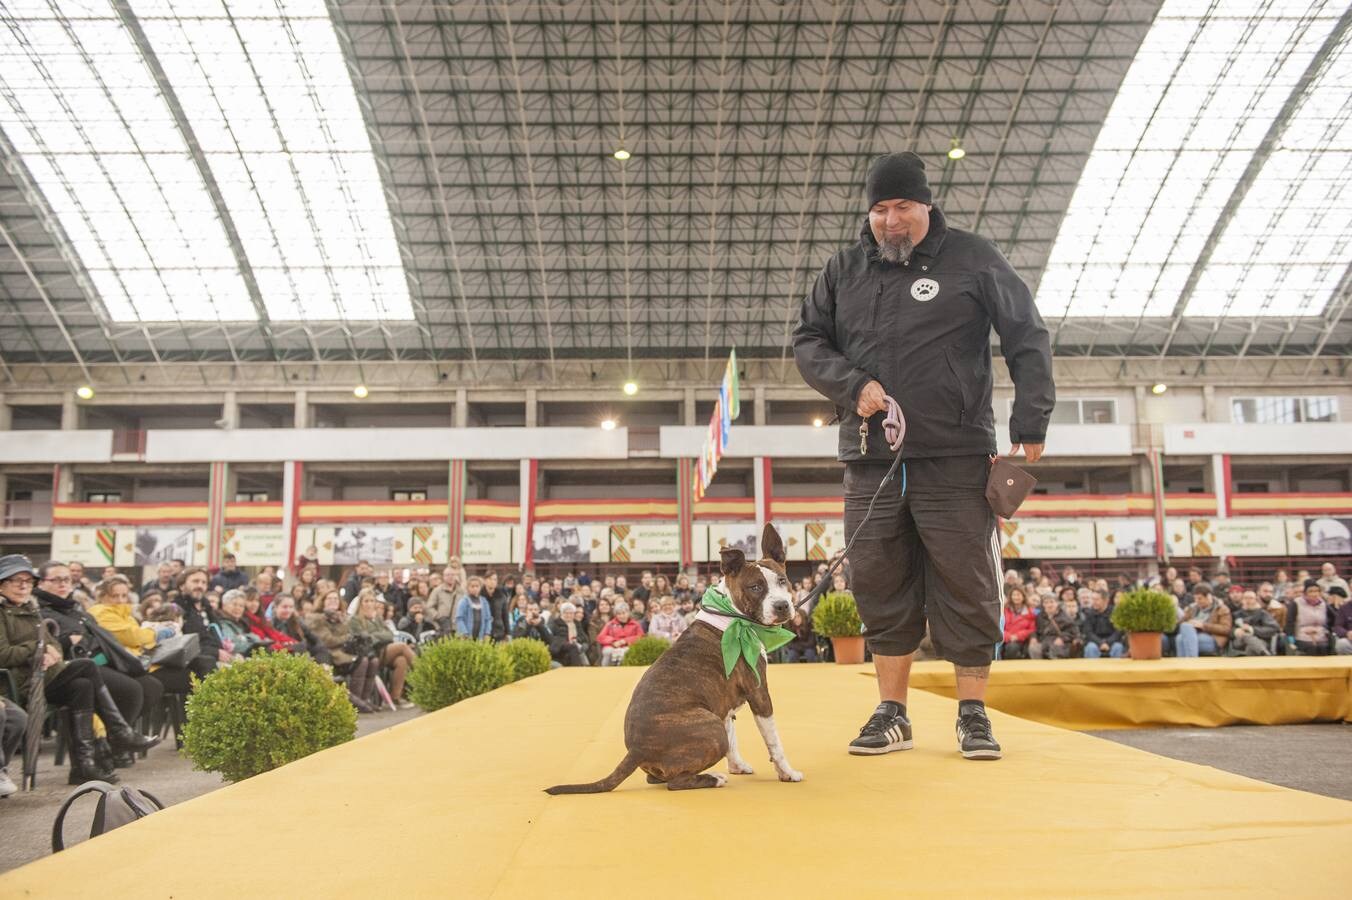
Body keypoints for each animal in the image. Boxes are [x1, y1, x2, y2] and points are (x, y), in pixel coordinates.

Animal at [548, 521, 800, 789]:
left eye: (782, 580)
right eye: (755, 587)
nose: (782, 605)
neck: (734, 619)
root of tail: (636, 750)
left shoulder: (724, 701)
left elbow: (733, 737)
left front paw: (737, 766)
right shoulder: (759, 693)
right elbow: (774, 741)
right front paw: (787, 772)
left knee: (657, 777)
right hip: (711, 726)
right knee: (675, 782)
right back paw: (713, 778)